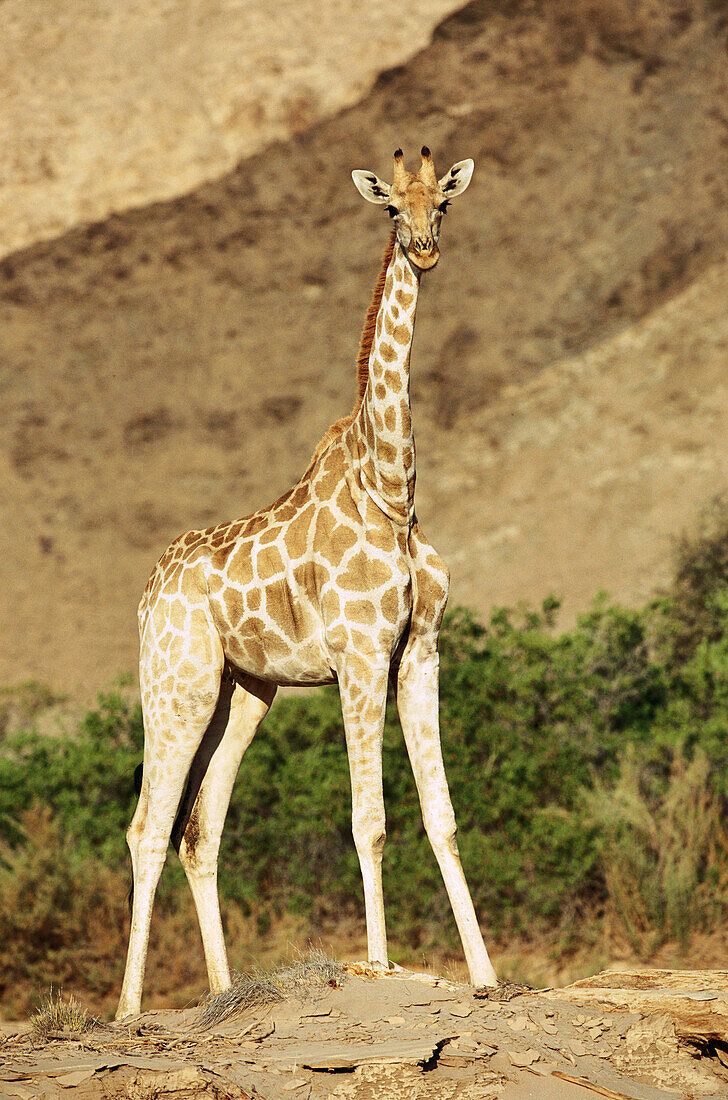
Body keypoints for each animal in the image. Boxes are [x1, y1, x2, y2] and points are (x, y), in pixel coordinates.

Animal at [115, 146, 501, 1020]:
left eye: (444, 203)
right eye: (390, 207)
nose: (424, 249)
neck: (393, 490)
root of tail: (149, 595)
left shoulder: (419, 652)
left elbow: (443, 817)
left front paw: (488, 977)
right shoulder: (359, 656)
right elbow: (370, 820)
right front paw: (382, 967)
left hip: (244, 692)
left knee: (200, 828)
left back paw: (224, 993)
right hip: (176, 684)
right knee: (148, 826)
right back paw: (127, 1011)